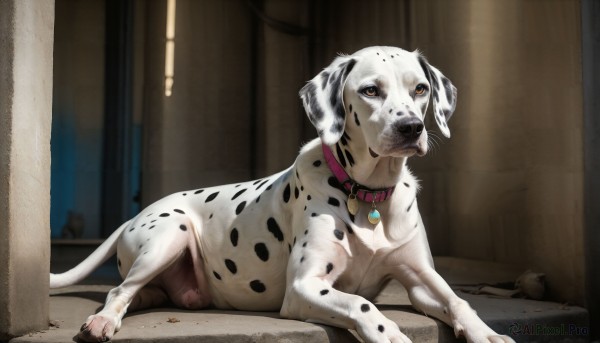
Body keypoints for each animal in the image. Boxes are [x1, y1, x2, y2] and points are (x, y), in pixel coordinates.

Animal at [49, 46, 512, 343]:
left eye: (420, 89)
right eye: (370, 90)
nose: (410, 128)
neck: (368, 196)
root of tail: (136, 214)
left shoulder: (422, 279)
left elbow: (459, 302)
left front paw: (487, 333)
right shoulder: (305, 289)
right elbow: (363, 306)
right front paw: (391, 335)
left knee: (135, 292)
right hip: (170, 233)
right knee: (117, 292)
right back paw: (102, 321)